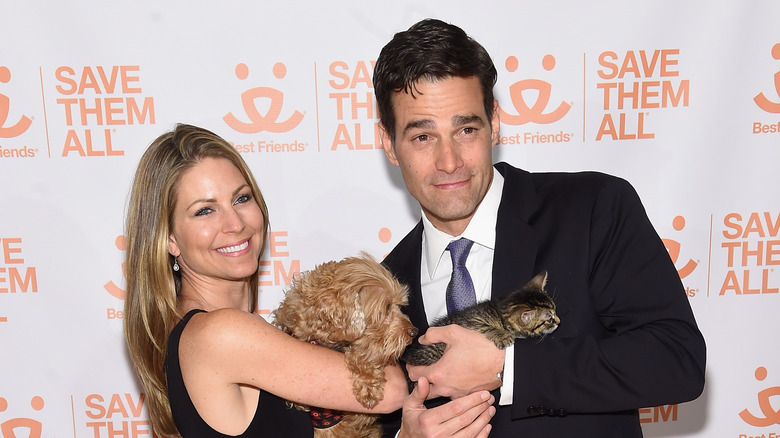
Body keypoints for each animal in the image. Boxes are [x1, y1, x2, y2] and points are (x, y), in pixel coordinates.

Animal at [402, 270, 560, 366]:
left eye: (555, 311)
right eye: (549, 319)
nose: (559, 321)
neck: (499, 312)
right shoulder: (469, 320)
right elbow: (484, 326)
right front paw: (503, 335)